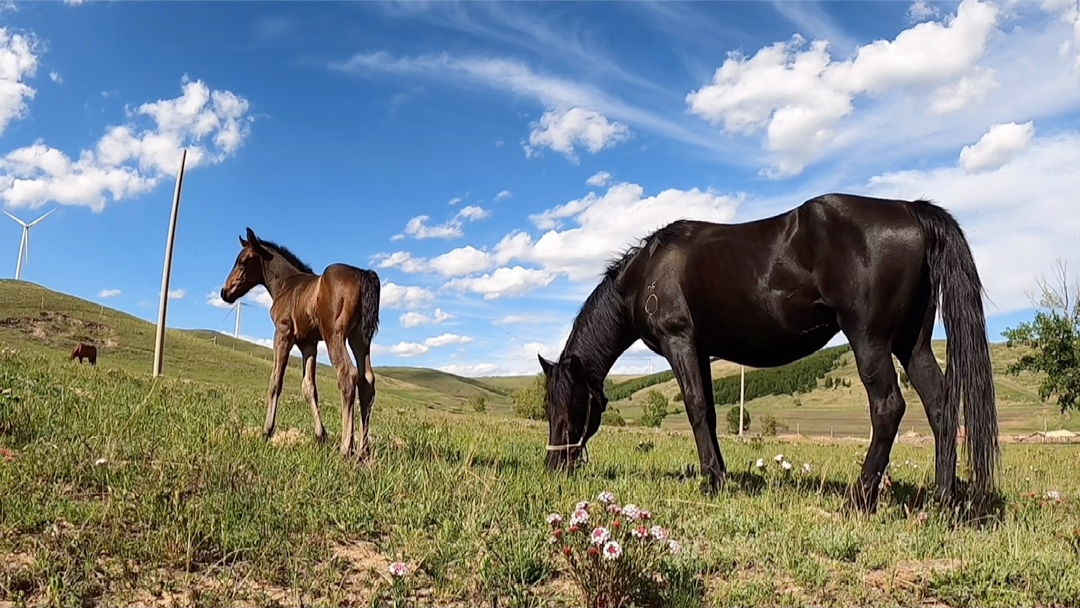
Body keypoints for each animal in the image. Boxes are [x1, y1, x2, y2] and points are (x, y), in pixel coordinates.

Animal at [217, 231, 382, 460]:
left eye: (242, 262)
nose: (225, 292)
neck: (287, 284)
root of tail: (362, 274)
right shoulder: (308, 344)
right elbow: (309, 387)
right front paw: (321, 436)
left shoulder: (283, 333)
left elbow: (275, 381)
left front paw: (266, 431)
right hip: (359, 338)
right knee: (367, 381)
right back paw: (363, 452)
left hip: (334, 336)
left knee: (348, 375)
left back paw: (345, 449)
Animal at [544, 192, 997, 511]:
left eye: (571, 404)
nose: (554, 467)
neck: (645, 274)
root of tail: (910, 210)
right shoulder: (702, 352)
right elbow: (709, 413)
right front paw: (720, 476)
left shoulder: (680, 343)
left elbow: (695, 409)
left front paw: (713, 482)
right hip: (911, 343)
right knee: (940, 406)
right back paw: (943, 500)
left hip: (869, 339)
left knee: (888, 407)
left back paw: (859, 499)